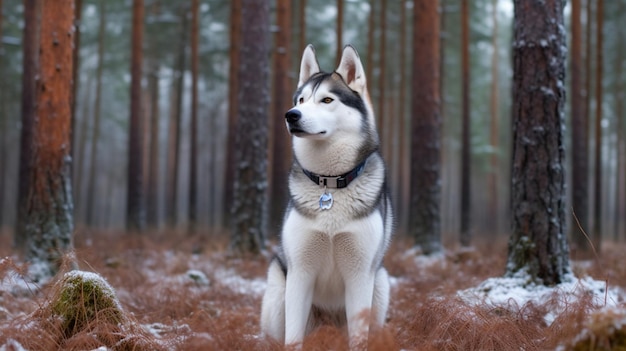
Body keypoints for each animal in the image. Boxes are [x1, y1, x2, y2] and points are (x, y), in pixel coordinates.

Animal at [260, 44, 392, 346]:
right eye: (301, 99)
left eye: (327, 100)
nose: (291, 114)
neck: (329, 186)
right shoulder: (300, 272)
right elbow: (293, 339)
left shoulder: (360, 274)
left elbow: (358, 338)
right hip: (277, 293)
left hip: (380, 282)